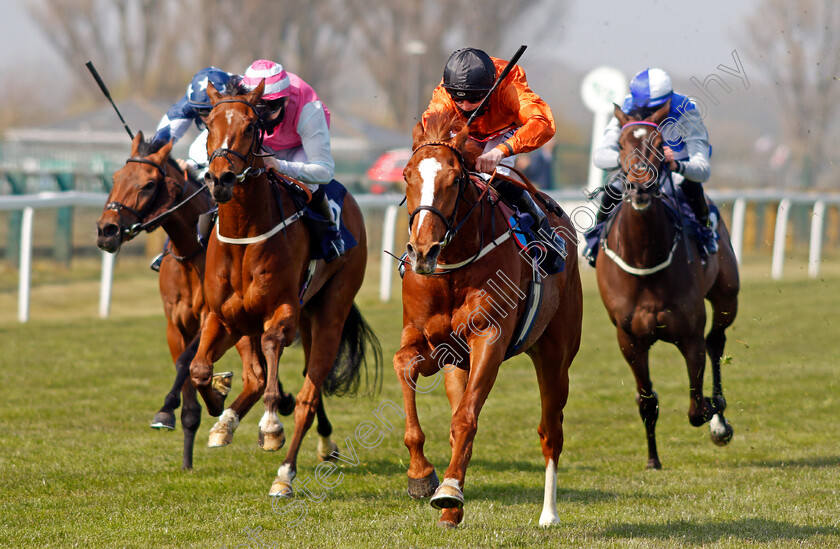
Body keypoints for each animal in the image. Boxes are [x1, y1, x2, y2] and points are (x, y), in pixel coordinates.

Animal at [96, 133, 334, 466]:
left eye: (148, 184)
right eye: (117, 177)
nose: (106, 230)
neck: (190, 252)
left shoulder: (211, 317)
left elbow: (188, 362)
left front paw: (171, 409)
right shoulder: (177, 325)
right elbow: (187, 369)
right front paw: (184, 446)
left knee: (295, 370)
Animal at [197, 81, 380, 496]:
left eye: (251, 126)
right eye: (209, 123)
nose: (220, 179)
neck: (244, 236)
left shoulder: (282, 313)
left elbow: (272, 352)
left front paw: (270, 427)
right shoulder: (222, 317)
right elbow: (200, 369)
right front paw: (218, 402)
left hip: (330, 311)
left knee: (309, 397)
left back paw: (285, 473)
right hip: (296, 319)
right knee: (270, 376)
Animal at [396, 112, 584, 528]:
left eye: (454, 180)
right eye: (407, 175)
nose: (423, 251)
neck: (451, 269)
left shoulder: (489, 339)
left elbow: (466, 419)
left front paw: (448, 489)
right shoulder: (434, 344)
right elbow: (405, 367)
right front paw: (421, 475)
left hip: (555, 356)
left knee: (551, 432)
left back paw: (548, 514)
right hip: (458, 366)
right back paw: (451, 509)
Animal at [592, 101, 740, 466]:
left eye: (659, 145)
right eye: (620, 145)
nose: (640, 188)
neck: (646, 262)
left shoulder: (689, 334)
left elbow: (696, 407)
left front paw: (714, 415)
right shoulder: (629, 340)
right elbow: (647, 400)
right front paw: (652, 460)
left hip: (727, 297)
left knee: (716, 340)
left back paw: (720, 420)